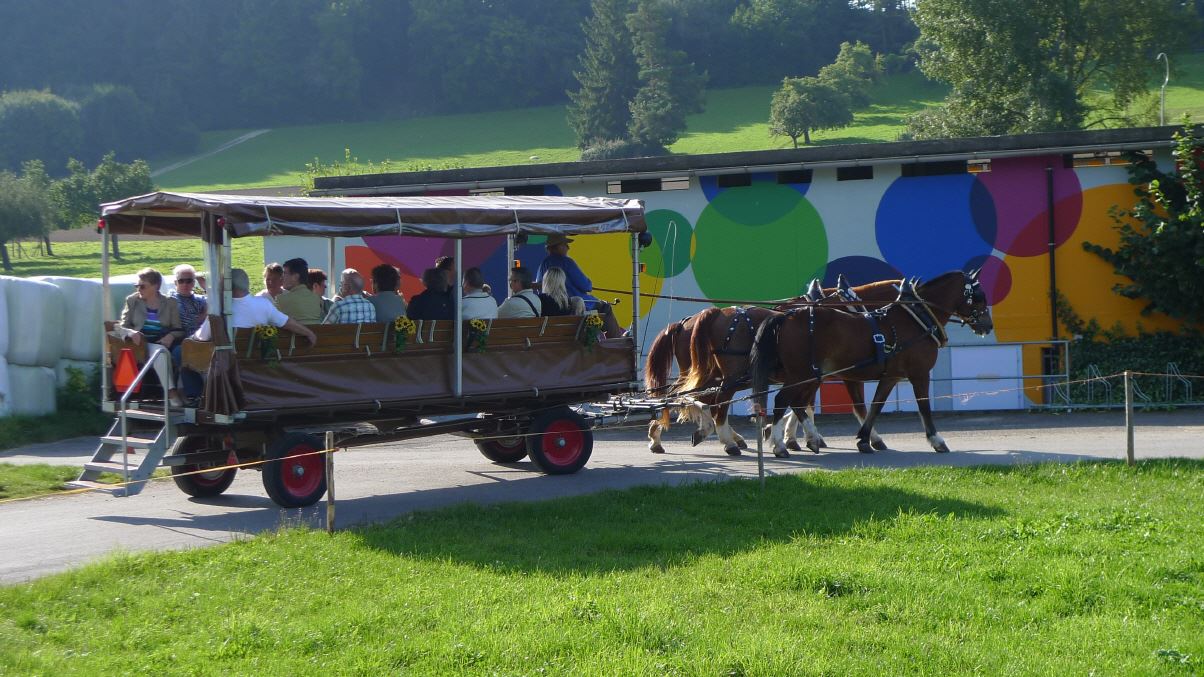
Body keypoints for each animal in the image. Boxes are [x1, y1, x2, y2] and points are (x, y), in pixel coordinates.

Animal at [646, 276, 903, 456]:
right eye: (851, 304)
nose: (868, 327)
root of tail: (688, 321)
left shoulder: (808, 375)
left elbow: (799, 405)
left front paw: (786, 435)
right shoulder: (832, 375)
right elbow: (855, 407)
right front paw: (871, 439)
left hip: (712, 375)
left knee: (686, 396)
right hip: (728, 376)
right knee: (710, 400)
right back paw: (725, 439)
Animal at [749, 270, 993, 455]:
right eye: (979, 295)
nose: (988, 325)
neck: (915, 319)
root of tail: (785, 316)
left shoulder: (890, 376)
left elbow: (875, 406)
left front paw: (865, 439)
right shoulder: (920, 373)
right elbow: (923, 406)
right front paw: (937, 440)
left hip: (808, 374)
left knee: (796, 402)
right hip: (801, 374)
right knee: (783, 400)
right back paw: (780, 444)